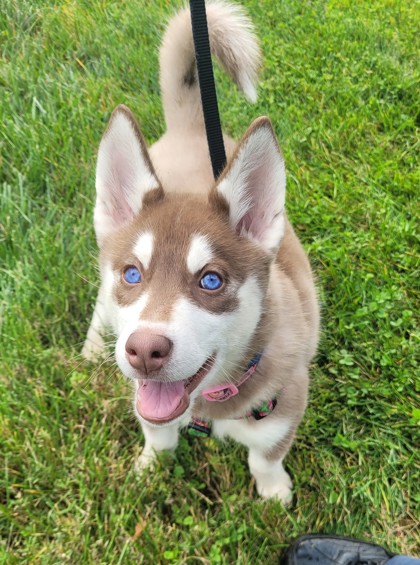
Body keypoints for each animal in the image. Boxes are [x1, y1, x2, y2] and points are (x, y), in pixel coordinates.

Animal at [81, 0, 318, 502]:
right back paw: (92, 346)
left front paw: (275, 496)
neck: (208, 403)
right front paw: (149, 469)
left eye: (211, 280)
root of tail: (192, 125)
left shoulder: (286, 403)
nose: (143, 351)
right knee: (99, 303)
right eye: (132, 274)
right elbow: (158, 436)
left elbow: (265, 457)